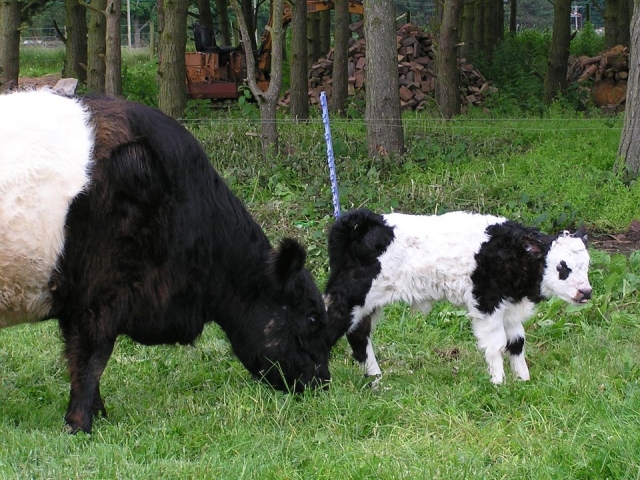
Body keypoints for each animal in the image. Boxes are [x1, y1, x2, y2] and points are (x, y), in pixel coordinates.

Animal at [0, 89, 331, 433]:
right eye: (312, 318)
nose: (322, 381)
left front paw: (99, 415)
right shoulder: (99, 297)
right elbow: (90, 362)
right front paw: (80, 425)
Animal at [324, 208, 592, 385]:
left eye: (587, 264)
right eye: (562, 266)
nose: (586, 292)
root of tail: (367, 221)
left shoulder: (510, 307)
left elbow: (516, 343)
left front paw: (523, 380)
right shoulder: (486, 304)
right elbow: (496, 344)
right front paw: (499, 383)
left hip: (369, 303)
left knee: (359, 336)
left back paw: (376, 378)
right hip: (351, 297)